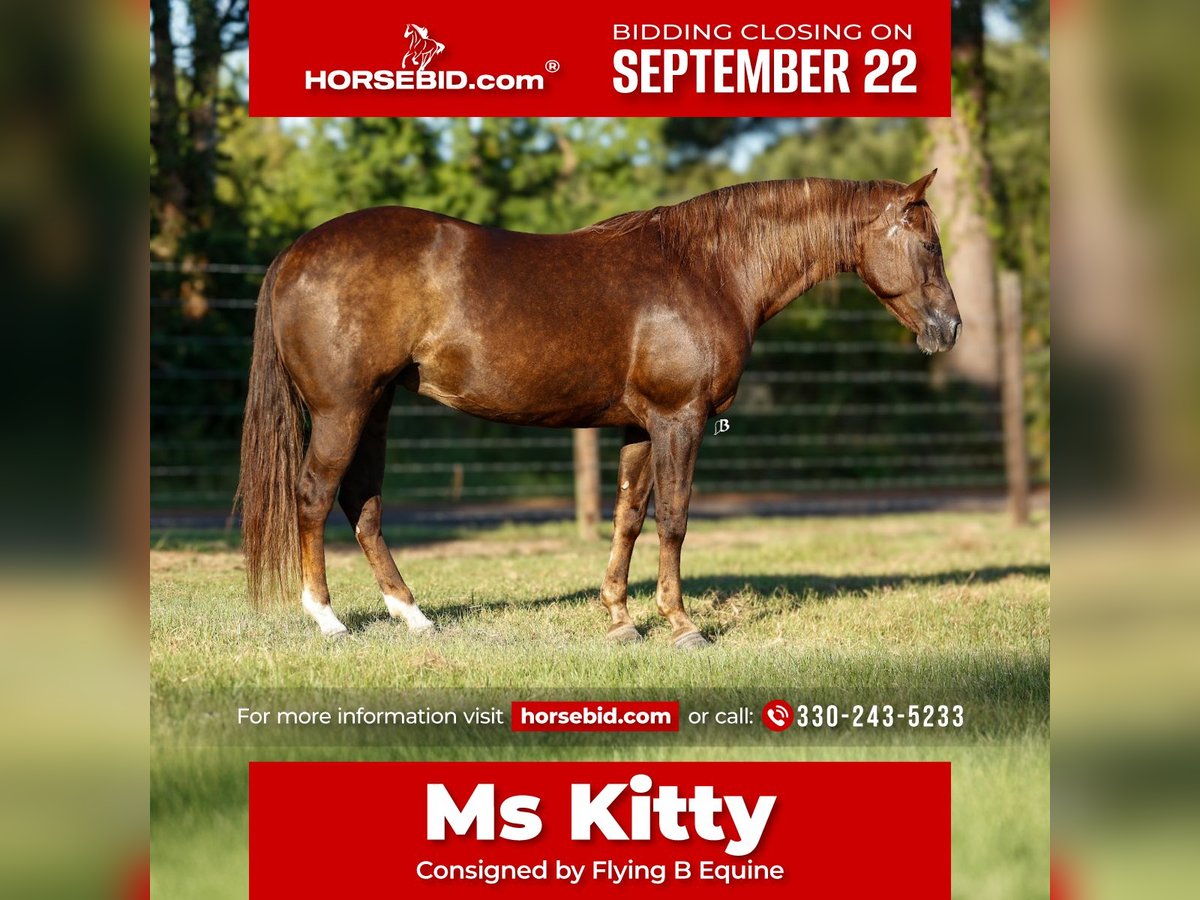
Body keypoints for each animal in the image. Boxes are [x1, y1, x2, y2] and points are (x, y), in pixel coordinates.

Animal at [235, 172, 960, 648]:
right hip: (342, 410)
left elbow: (627, 520)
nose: (949, 328)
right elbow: (674, 520)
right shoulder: (679, 419)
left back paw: (412, 615)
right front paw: (682, 625)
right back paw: (328, 619)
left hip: (376, 407)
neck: (708, 267)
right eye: (929, 244)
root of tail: (295, 252)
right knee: (314, 495)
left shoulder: (639, 426)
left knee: (363, 502)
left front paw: (620, 619)